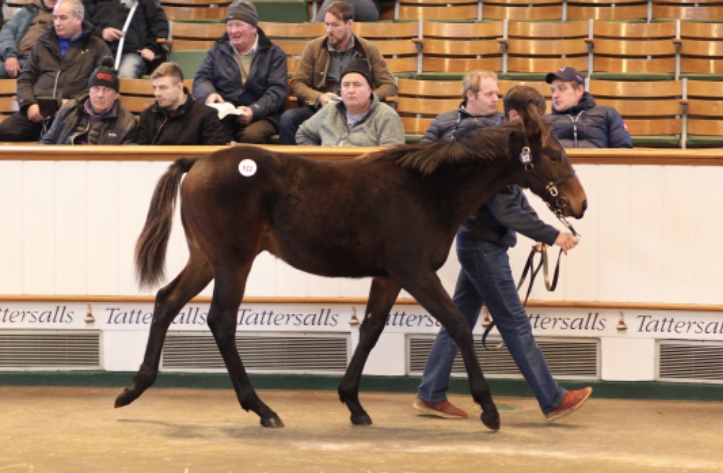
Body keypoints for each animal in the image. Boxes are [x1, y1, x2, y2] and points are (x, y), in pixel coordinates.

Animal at [115, 103, 587, 432]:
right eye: (554, 154)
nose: (579, 204)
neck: (428, 191)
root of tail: (197, 162)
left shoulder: (389, 277)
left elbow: (372, 330)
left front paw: (354, 404)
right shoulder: (415, 273)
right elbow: (456, 323)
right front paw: (488, 408)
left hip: (206, 259)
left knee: (167, 300)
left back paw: (133, 389)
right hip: (233, 261)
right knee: (221, 321)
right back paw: (262, 409)